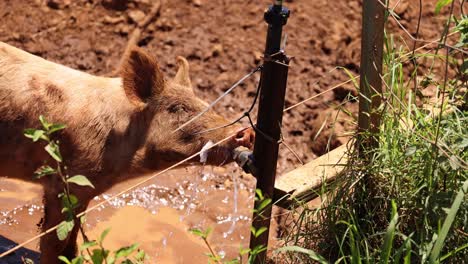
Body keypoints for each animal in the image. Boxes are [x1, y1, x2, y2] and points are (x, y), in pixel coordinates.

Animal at [0, 42, 254, 262]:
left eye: (205, 104)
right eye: (178, 108)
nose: (245, 132)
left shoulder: (83, 191)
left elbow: (72, 243)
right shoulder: (64, 183)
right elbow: (55, 244)